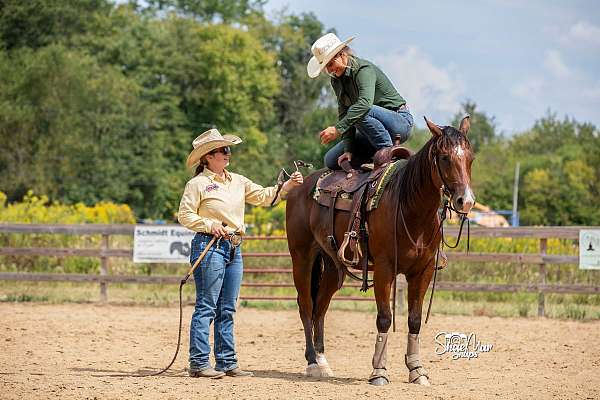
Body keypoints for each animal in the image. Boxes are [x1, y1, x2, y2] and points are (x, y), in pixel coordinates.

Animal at [284, 115, 476, 384]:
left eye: (470, 158)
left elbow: (415, 320)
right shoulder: (385, 269)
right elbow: (384, 318)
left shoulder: (423, 271)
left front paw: (417, 371)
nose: (465, 201)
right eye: (445, 157)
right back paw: (312, 362)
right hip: (302, 257)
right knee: (306, 305)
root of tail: (300, 185)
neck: (409, 206)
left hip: (333, 266)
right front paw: (379, 371)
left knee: (320, 307)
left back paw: (322, 362)